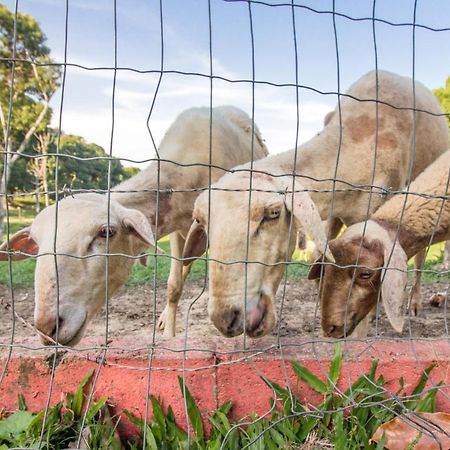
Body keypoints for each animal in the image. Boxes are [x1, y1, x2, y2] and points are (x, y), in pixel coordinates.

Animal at [0, 105, 268, 344]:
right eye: (36, 243)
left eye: (106, 232)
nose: (47, 326)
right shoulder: (178, 230)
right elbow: (174, 285)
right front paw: (168, 334)